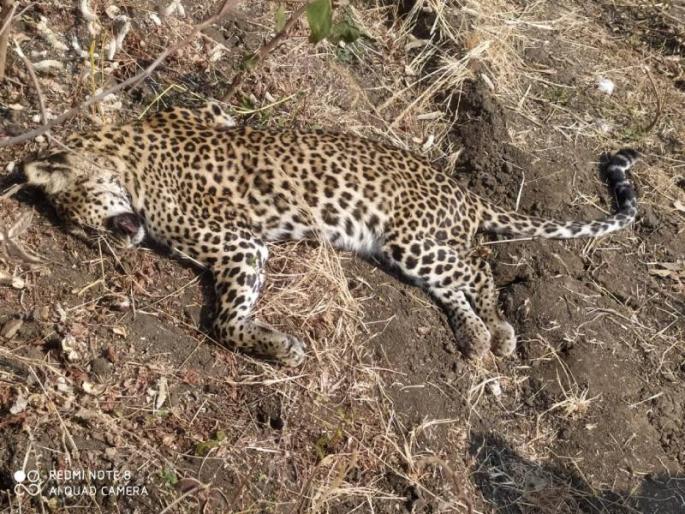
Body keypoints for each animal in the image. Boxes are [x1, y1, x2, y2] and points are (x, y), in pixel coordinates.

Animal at [15, 102, 639, 367]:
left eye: (83, 221)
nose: (118, 241)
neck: (127, 153)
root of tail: (462, 189)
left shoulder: (240, 244)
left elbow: (224, 321)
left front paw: (277, 348)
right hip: (410, 251)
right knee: (457, 282)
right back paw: (476, 337)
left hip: (412, 238)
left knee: (480, 269)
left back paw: (501, 333)